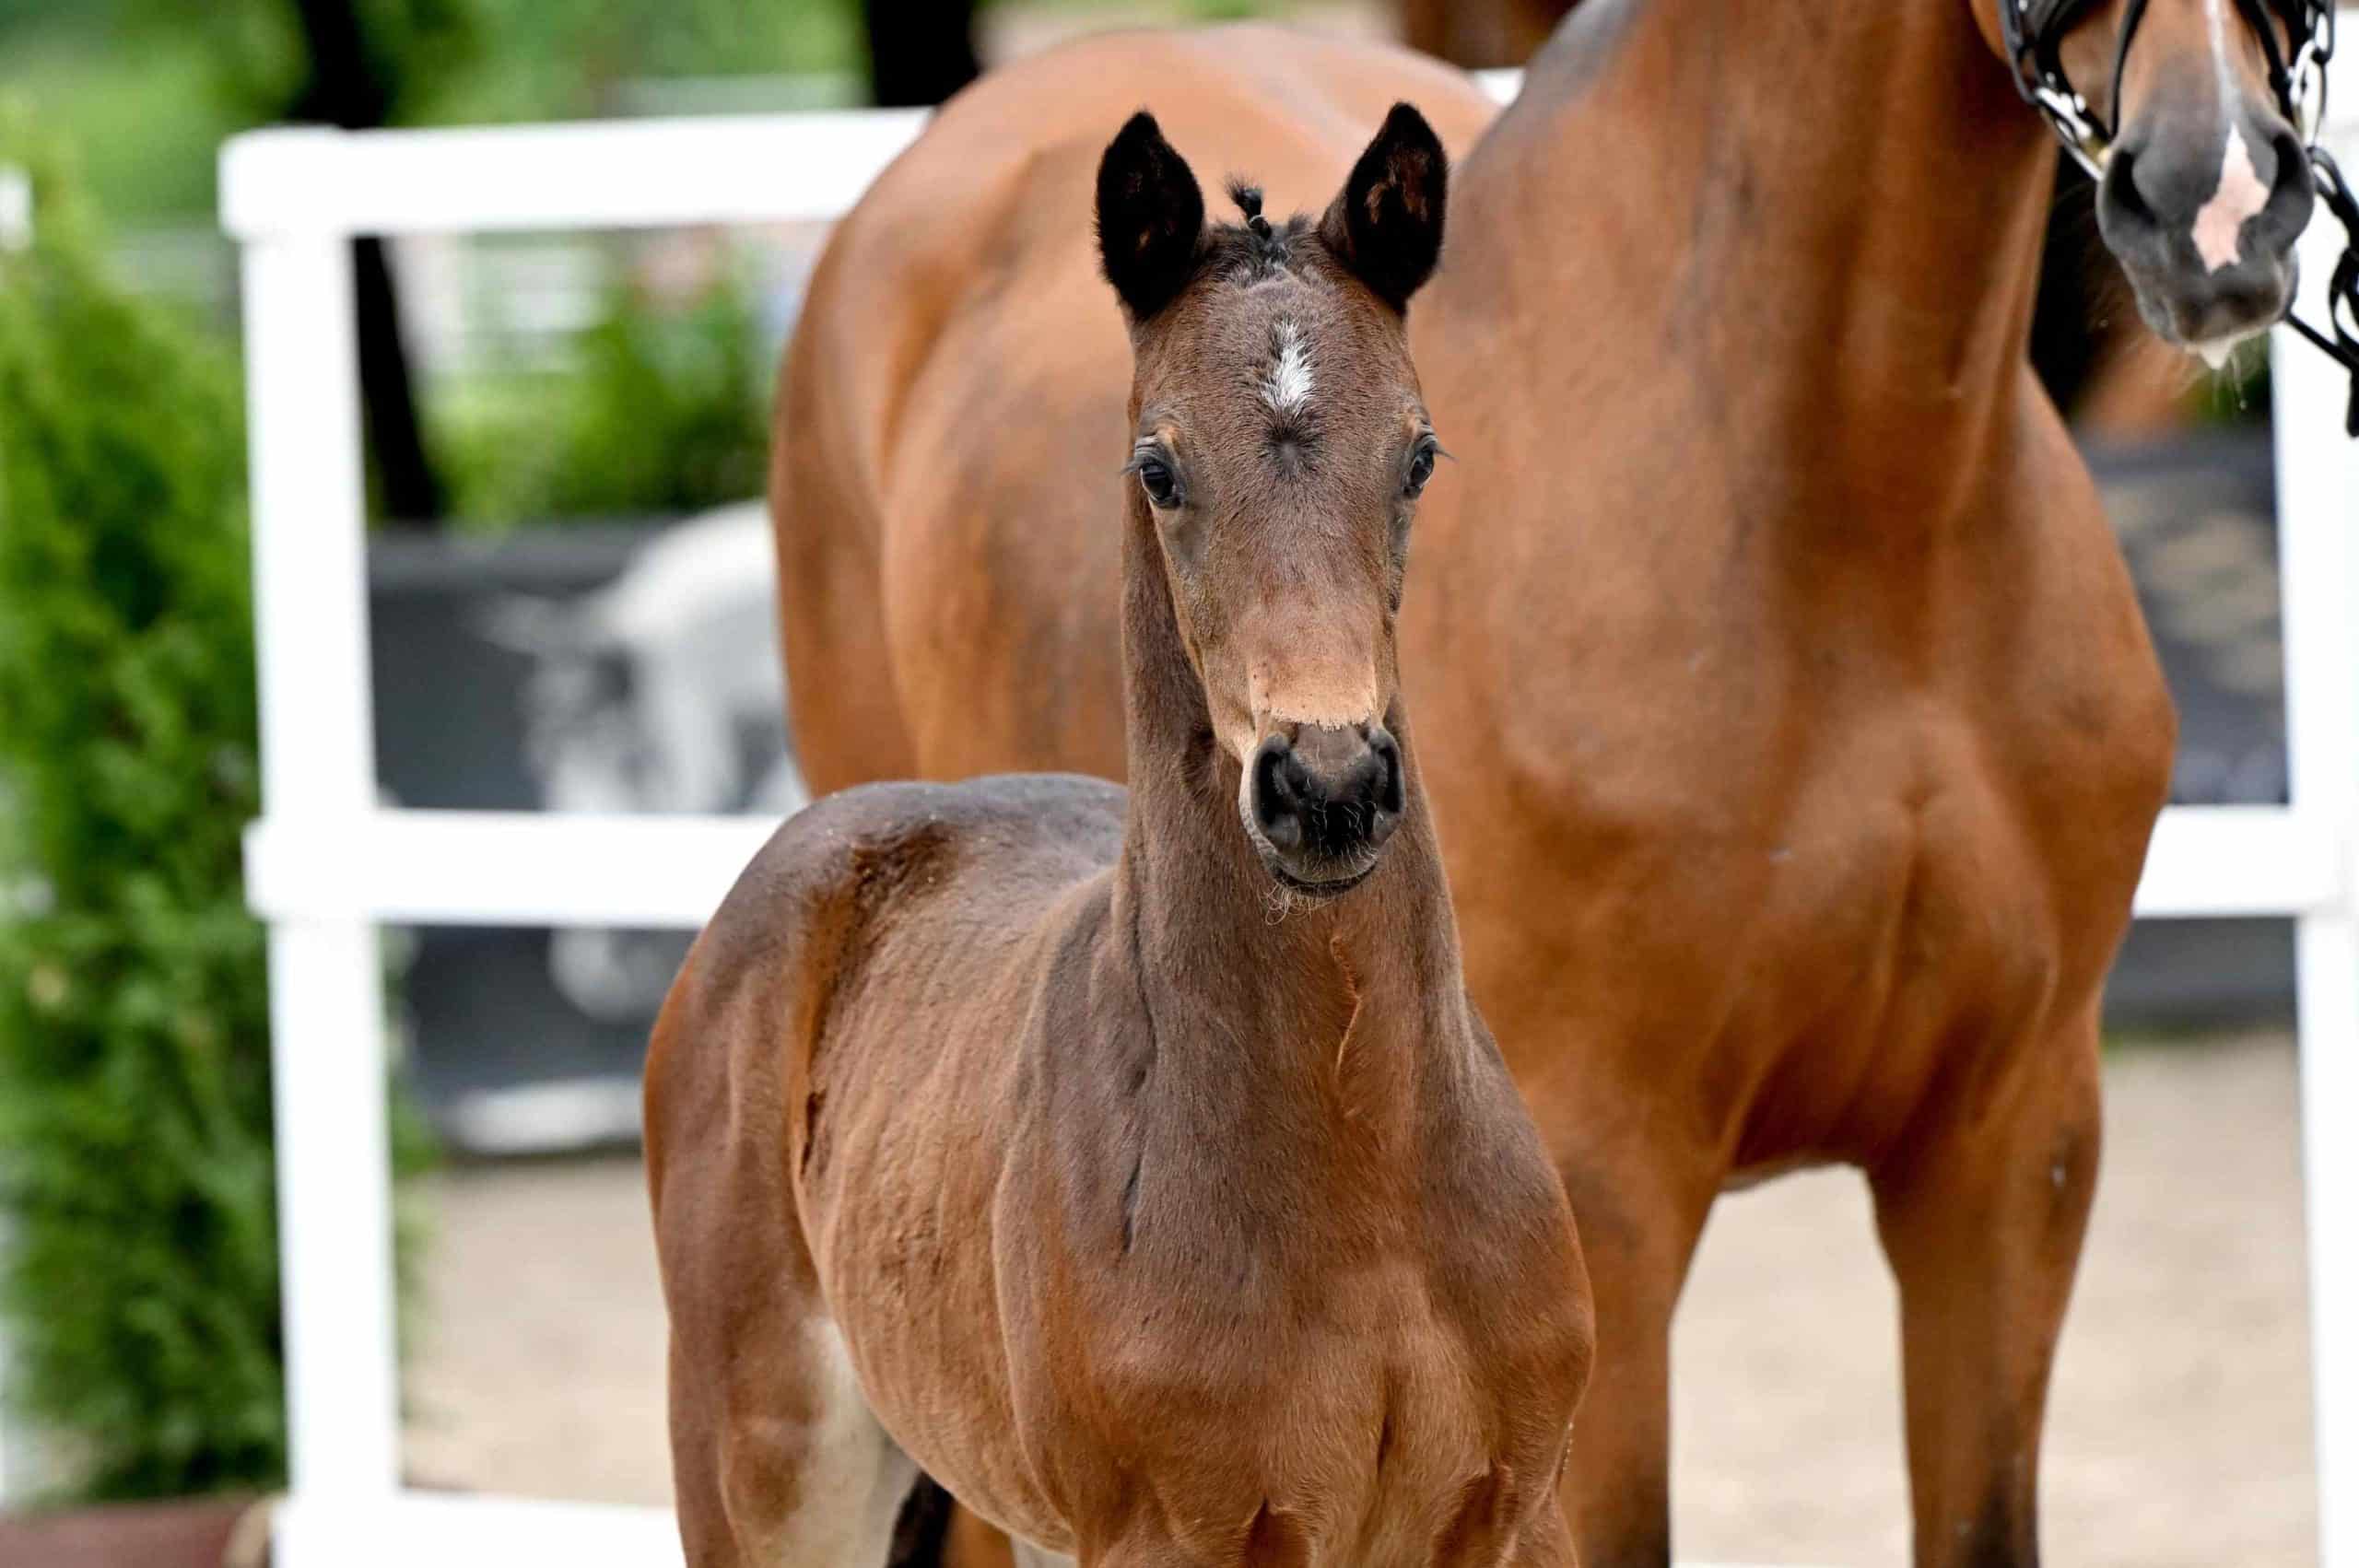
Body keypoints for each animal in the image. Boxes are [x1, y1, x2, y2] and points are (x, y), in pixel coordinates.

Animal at [655, 103, 1594, 1556]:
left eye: (1420, 454)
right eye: (1159, 467)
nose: (1327, 784)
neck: (1368, 1178)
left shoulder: (1519, 1507)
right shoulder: (1168, 1529)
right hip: (766, 1468)